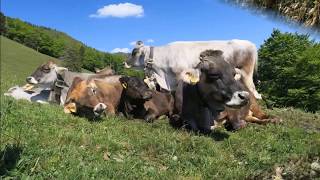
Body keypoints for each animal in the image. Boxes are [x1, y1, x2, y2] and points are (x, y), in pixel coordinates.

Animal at [125, 39, 262, 100]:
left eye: (134, 52)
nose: (124, 62)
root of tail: (251, 44)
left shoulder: (180, 75)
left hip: (246, 73)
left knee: (253, 90)